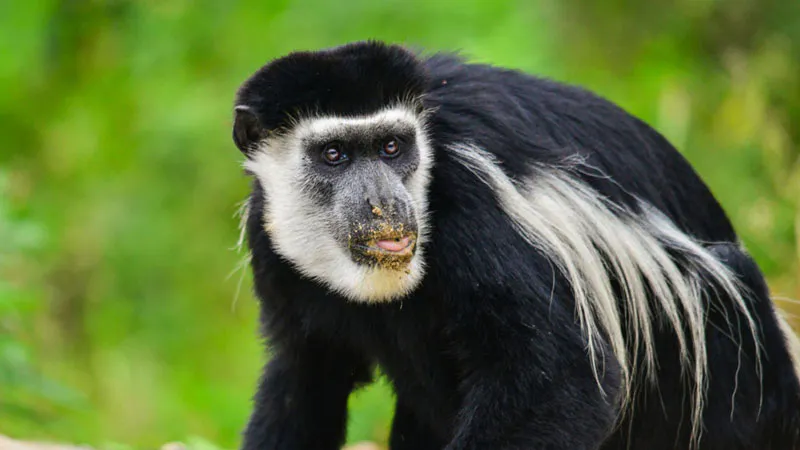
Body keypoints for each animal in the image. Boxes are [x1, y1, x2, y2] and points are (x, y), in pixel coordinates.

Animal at [230, 41, 800, 450]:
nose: (383, 203)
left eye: (391, 147)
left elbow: (560, 379)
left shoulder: (473, 201)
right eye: (334, 155)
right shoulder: (272, 241)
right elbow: (305, 380)